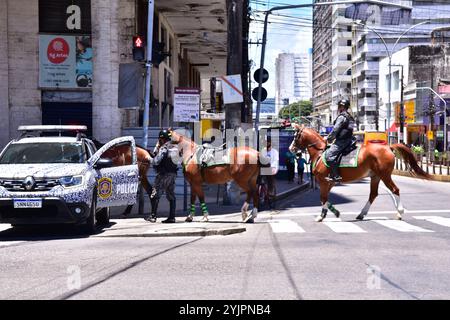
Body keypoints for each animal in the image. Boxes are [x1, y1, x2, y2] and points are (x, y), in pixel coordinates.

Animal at [288, 125, 432, 222]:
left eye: (296, 136)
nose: (291, 148)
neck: (320, 152)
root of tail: (388, 147)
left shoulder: (323, 181)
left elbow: (323, 198)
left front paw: (321, 216)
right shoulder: (329, 182)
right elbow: (326, 198)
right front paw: (334, 212)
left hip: (385, 175)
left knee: (395, 190)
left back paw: (400, 212)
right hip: (375, 177)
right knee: (373, 194)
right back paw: (362, 213)